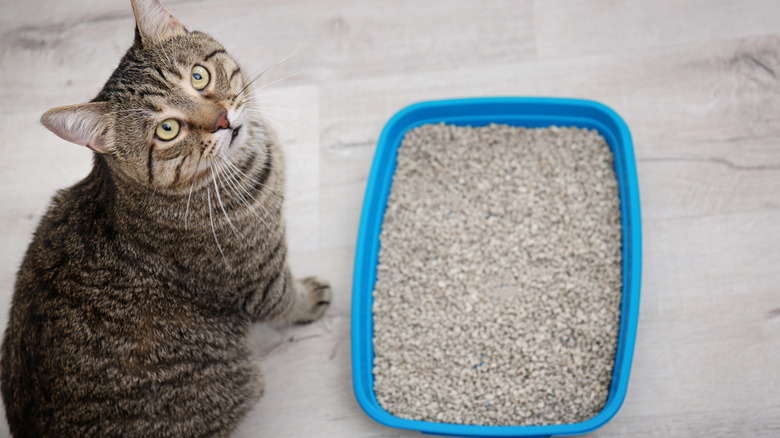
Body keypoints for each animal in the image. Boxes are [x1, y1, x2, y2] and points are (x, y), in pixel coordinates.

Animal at [0, 0, 330, 434]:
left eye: (199, 76)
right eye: (168, 129)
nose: (223, 119)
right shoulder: (257, 278)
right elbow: (287, 300)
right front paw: (310, 298)